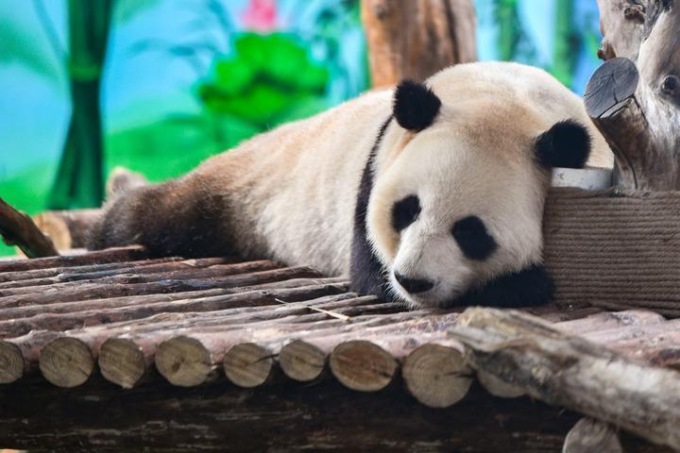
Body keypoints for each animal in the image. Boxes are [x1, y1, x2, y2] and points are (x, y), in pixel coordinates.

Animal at [87, 61, 612, 309]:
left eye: (471, 231)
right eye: (406, 210)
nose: (412, 280)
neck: (505, 96)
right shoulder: (376, 168)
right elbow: (369, 271)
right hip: (246, 186)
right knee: (163, 213)